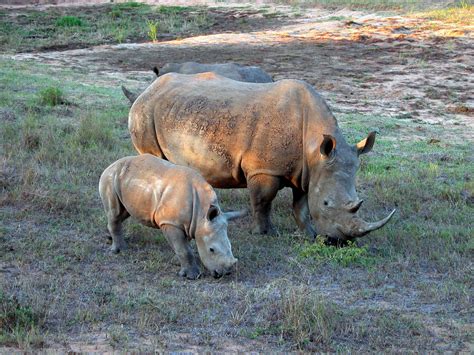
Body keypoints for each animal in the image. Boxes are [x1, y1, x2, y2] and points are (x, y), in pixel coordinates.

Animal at [97, 154, 243, 280]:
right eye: (211, 250)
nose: (224, 273)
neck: (201, 214)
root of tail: (111, 164)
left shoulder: (188, 223)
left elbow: (181, 246)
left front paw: (178, 263)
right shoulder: (170, 222)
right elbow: (184, 249)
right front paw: (192, 276)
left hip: (127, 182)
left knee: (123, 213)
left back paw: (109, 237)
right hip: (111, 178)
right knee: (115, 213)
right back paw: (120, 250)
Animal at [129, 72, 396, 245]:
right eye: (327, 203)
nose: (339, 242)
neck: (314, 148)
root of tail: (148, 89)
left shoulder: (307, 172)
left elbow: (301, 206)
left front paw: (308, 234)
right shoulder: (264, 169)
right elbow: (262, 201)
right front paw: (264, 233)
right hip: (145, 113)